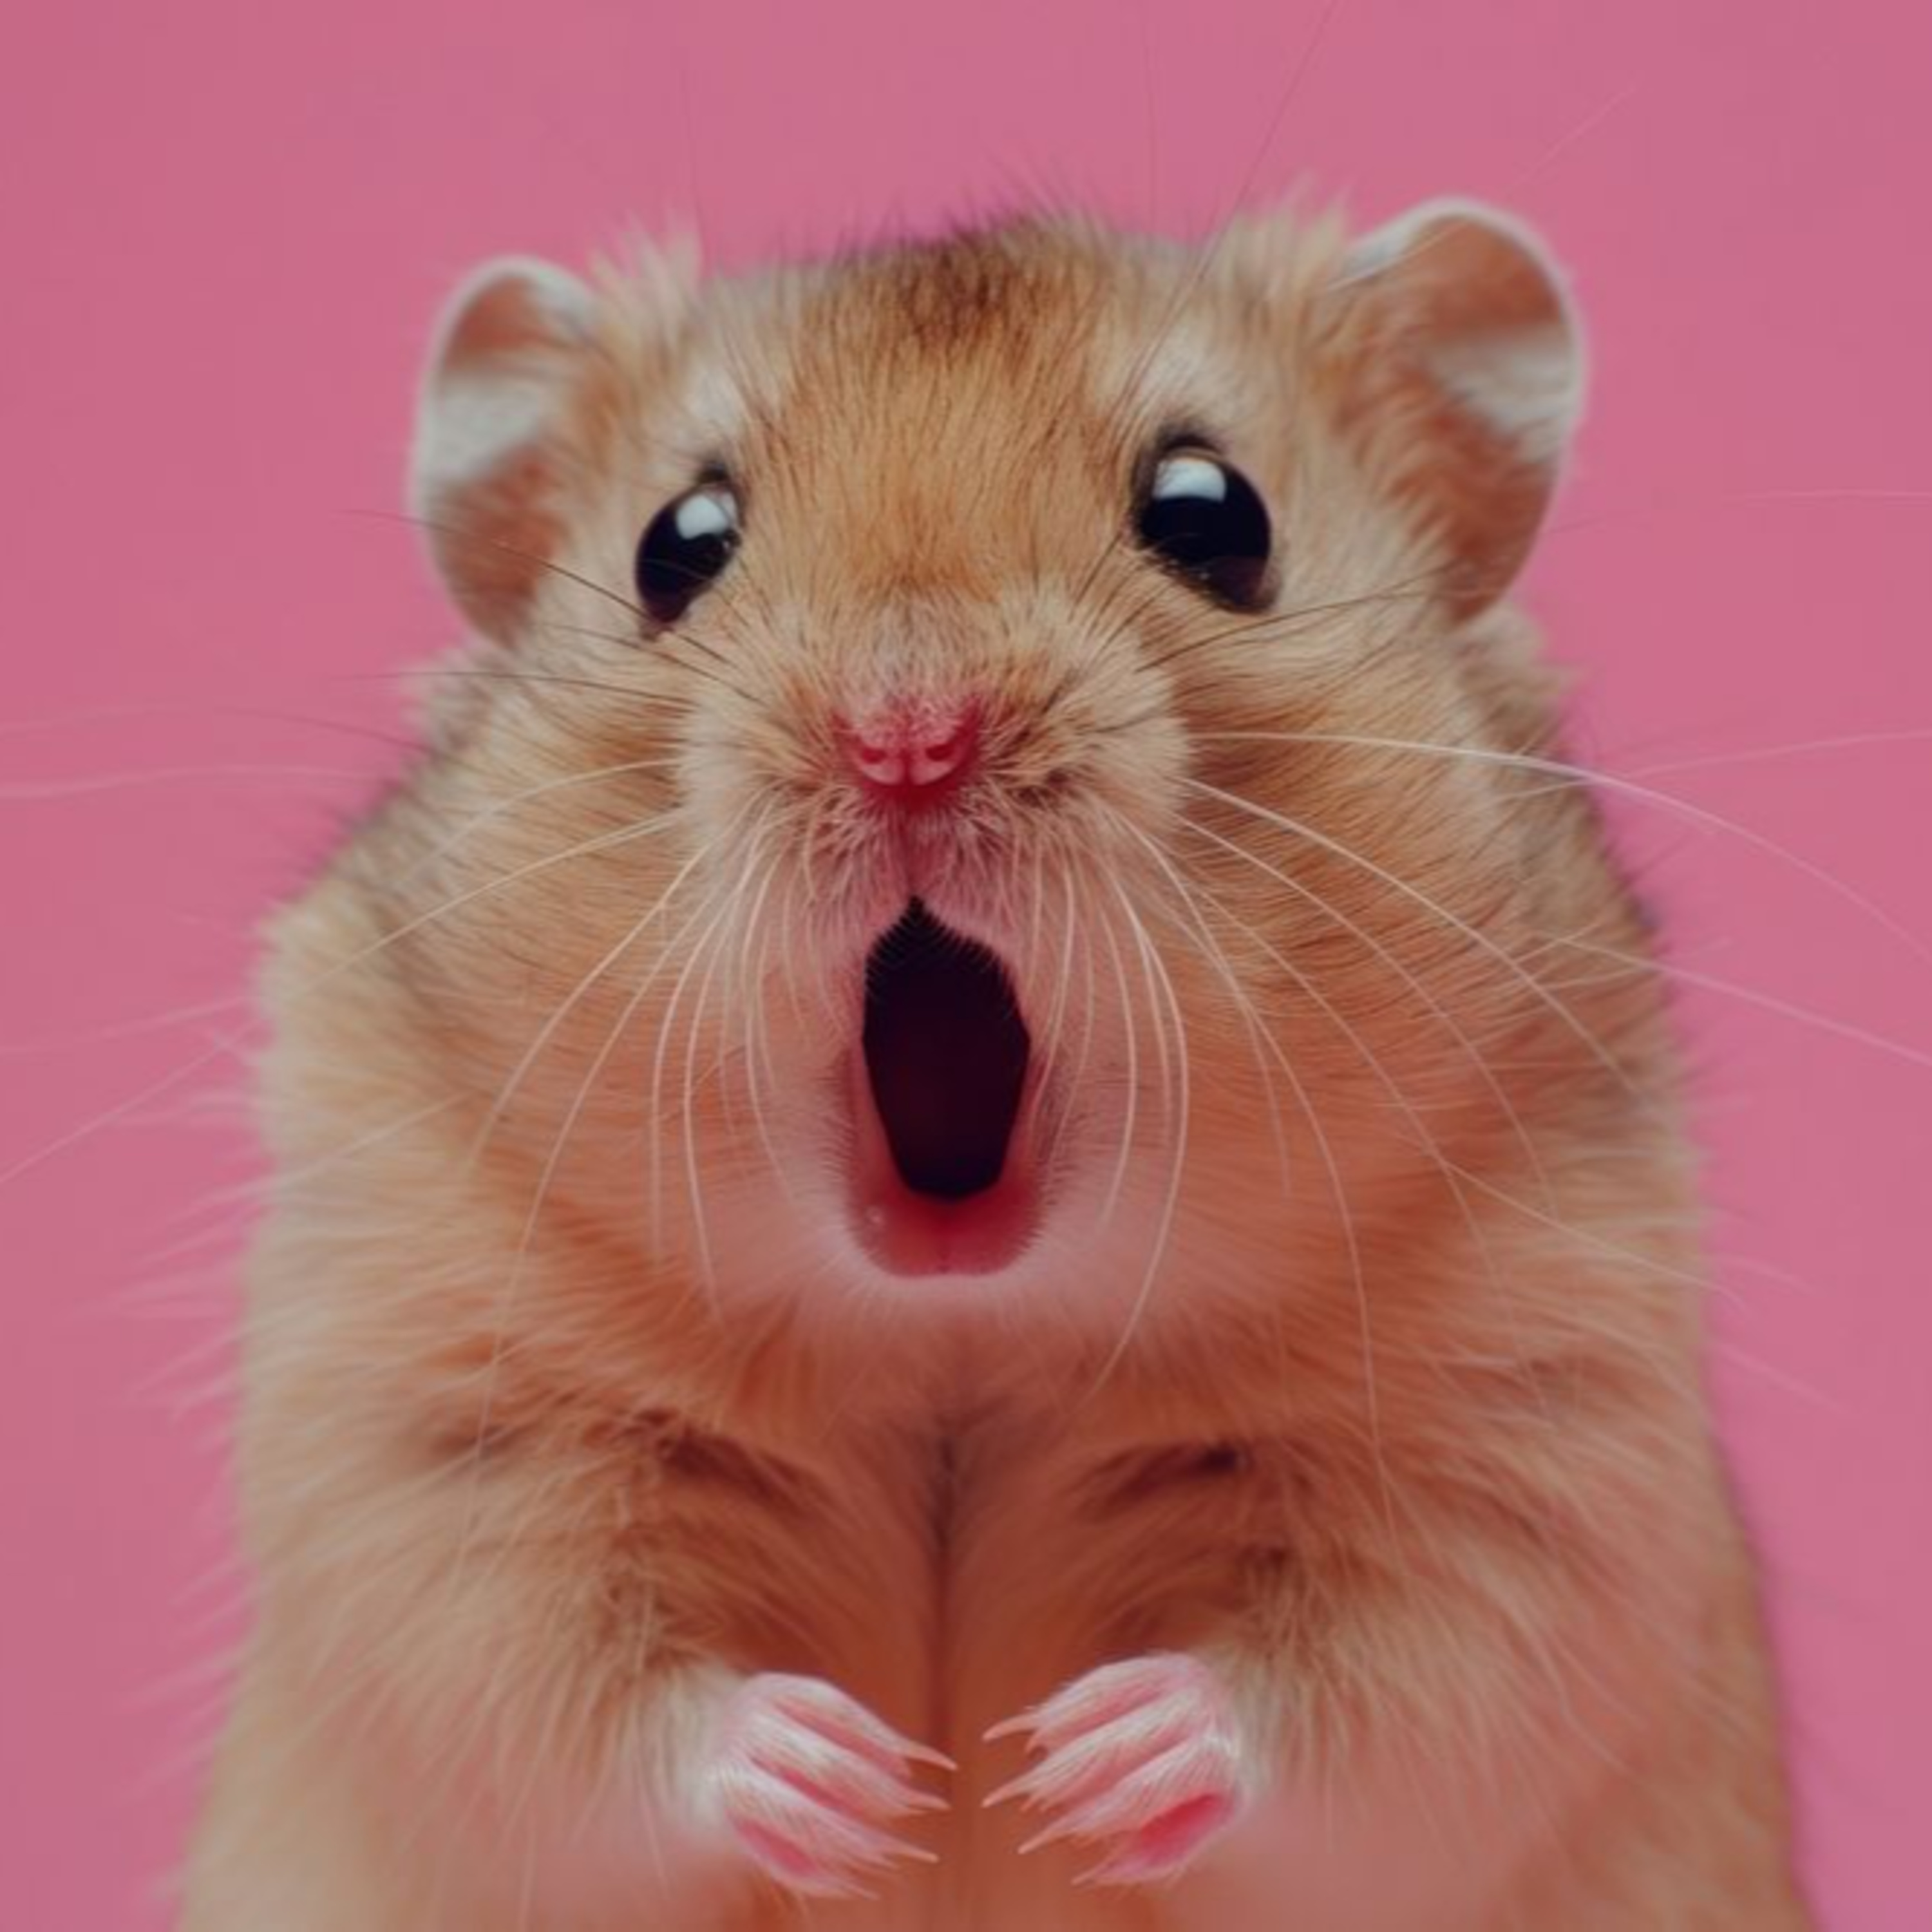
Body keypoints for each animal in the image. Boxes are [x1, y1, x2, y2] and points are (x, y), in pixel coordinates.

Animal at [182, 200, 1813, 1931]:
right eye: (676, 546)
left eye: (1214, 516)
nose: (907, 737)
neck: (956, 1332)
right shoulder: (435, 1428)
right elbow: (568, 1687)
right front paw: (862, 1783)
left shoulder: (1527, 1444)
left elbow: (1374, 1689)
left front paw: (1075, 1761)